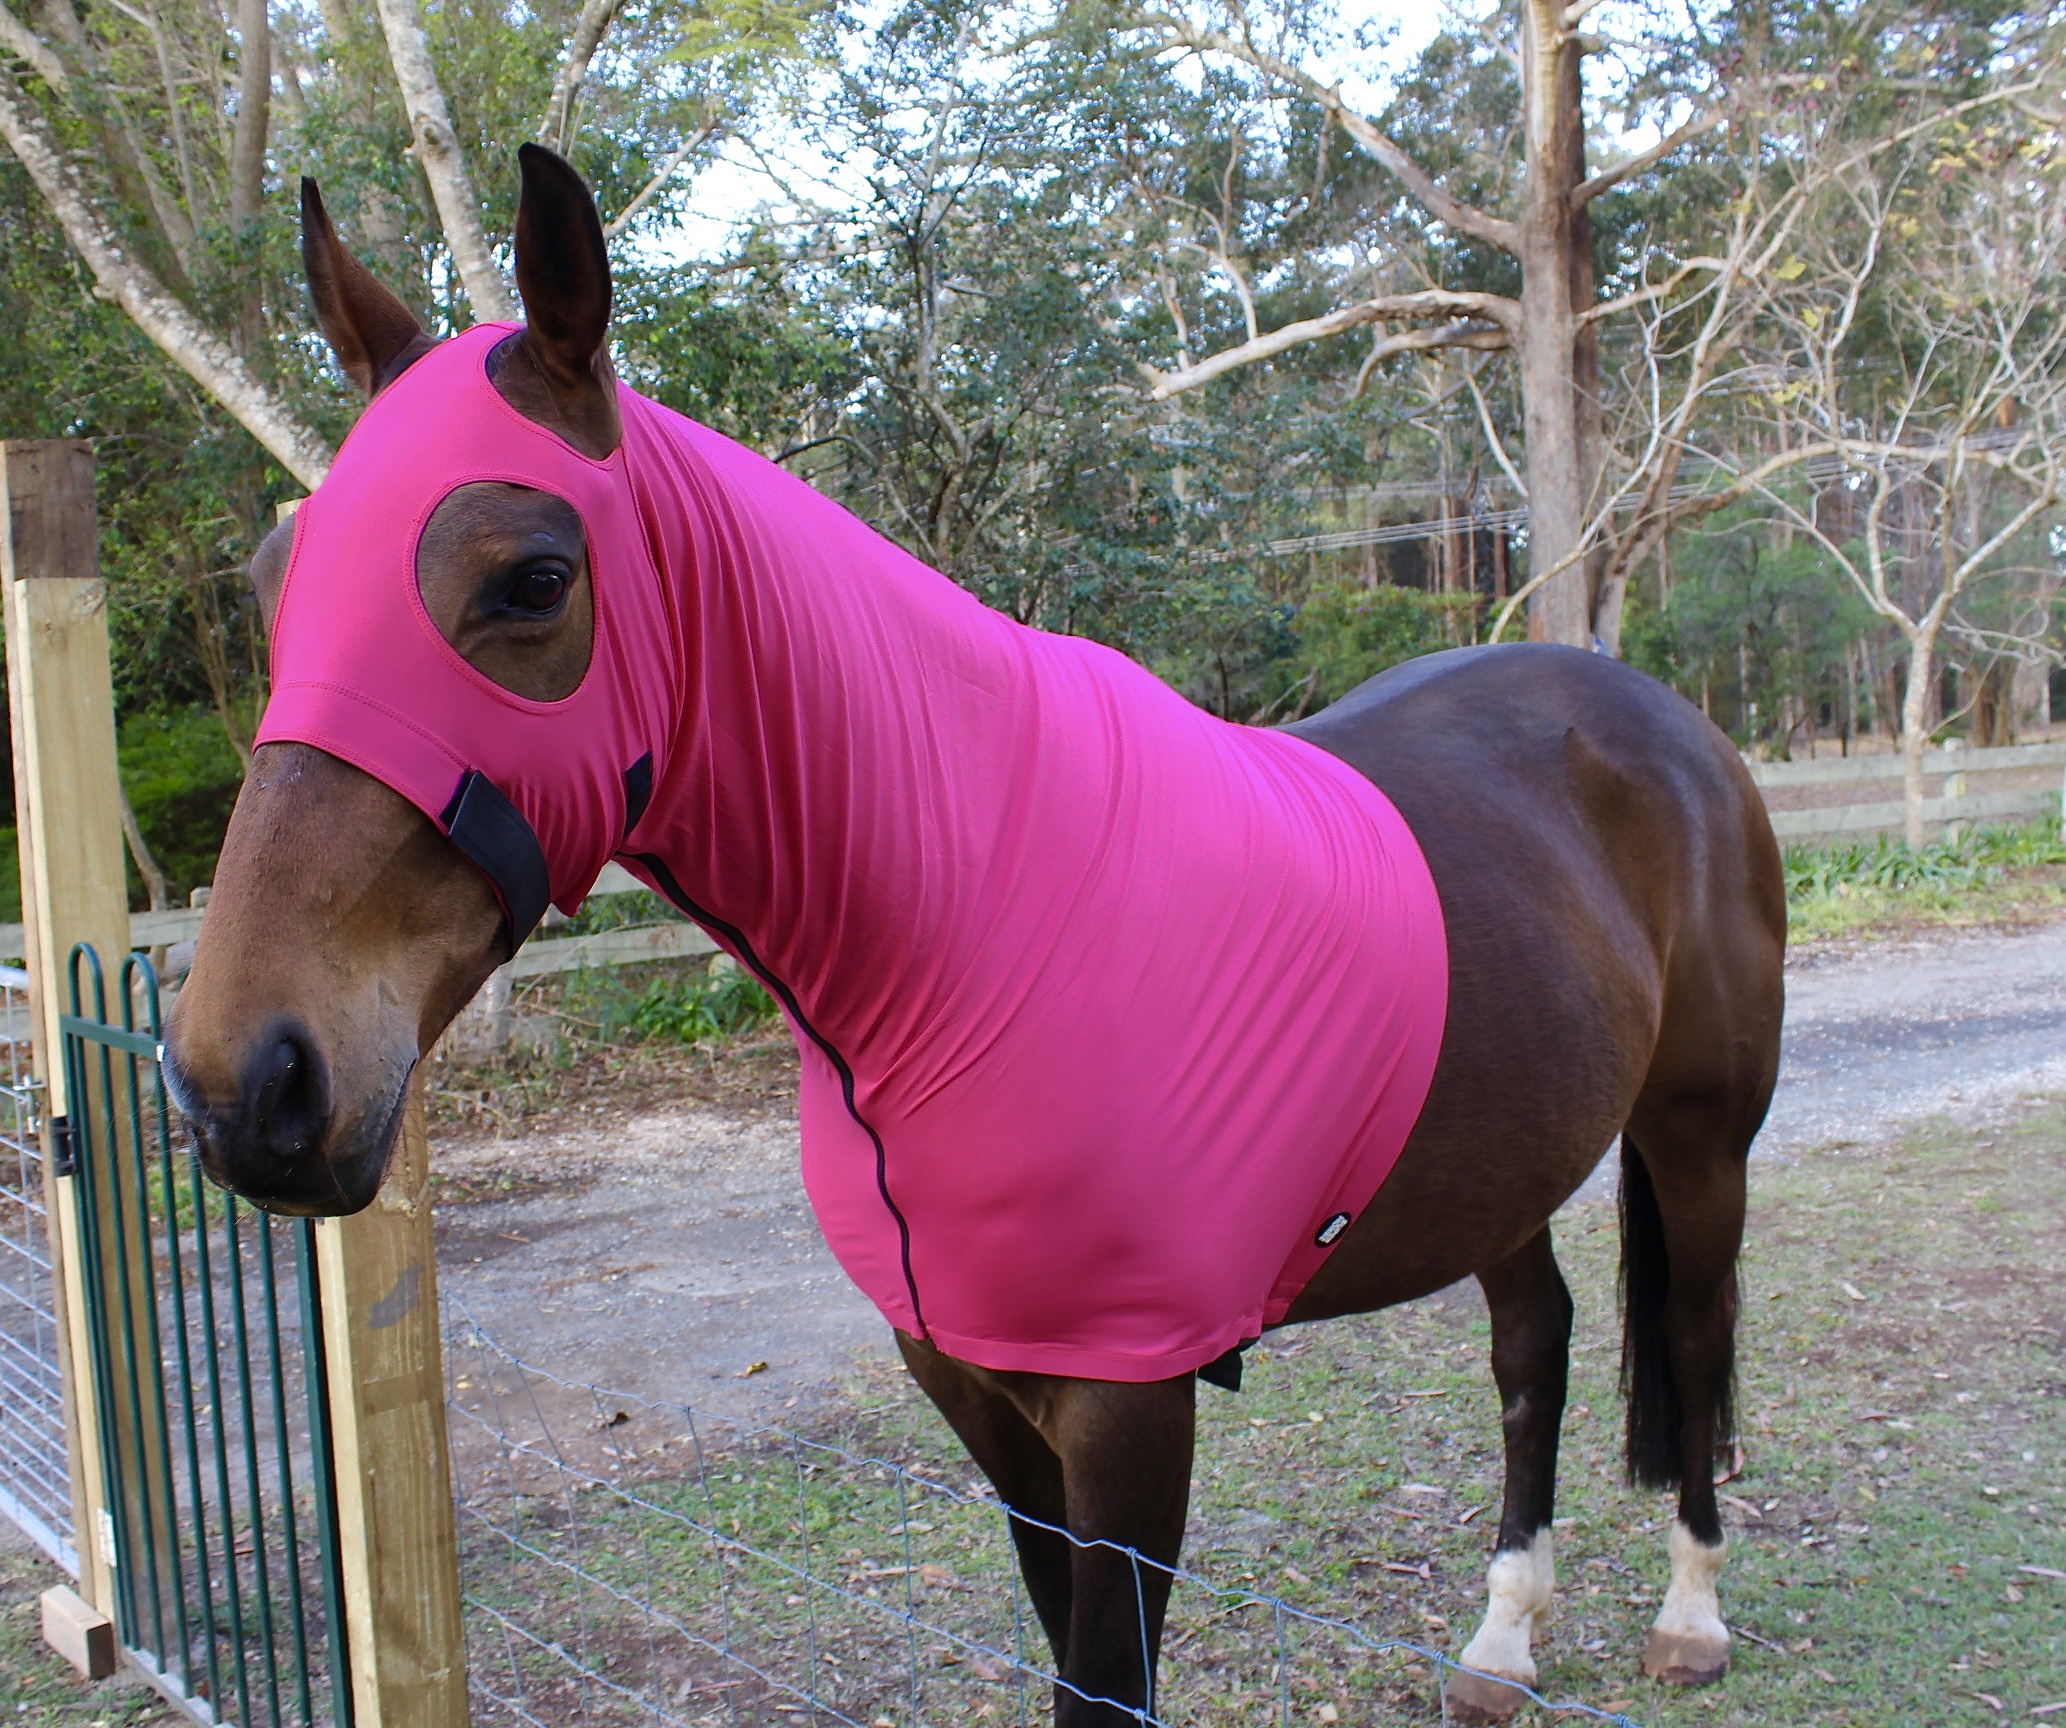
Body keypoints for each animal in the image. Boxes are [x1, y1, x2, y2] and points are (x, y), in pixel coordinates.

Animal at [163, 145, 1785, 1727]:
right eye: (271, 580)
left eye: (532, 580)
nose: (249, 1083)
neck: (970, 932)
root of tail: (1661, 723)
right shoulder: (976, 1394)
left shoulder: (1129, 1405)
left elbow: (1106, 1684)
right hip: (1503, 1162)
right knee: (1533, 1348)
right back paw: (1503, 1641)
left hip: (1696, 1138)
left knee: (1693, 1335)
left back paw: (1691, 1617)